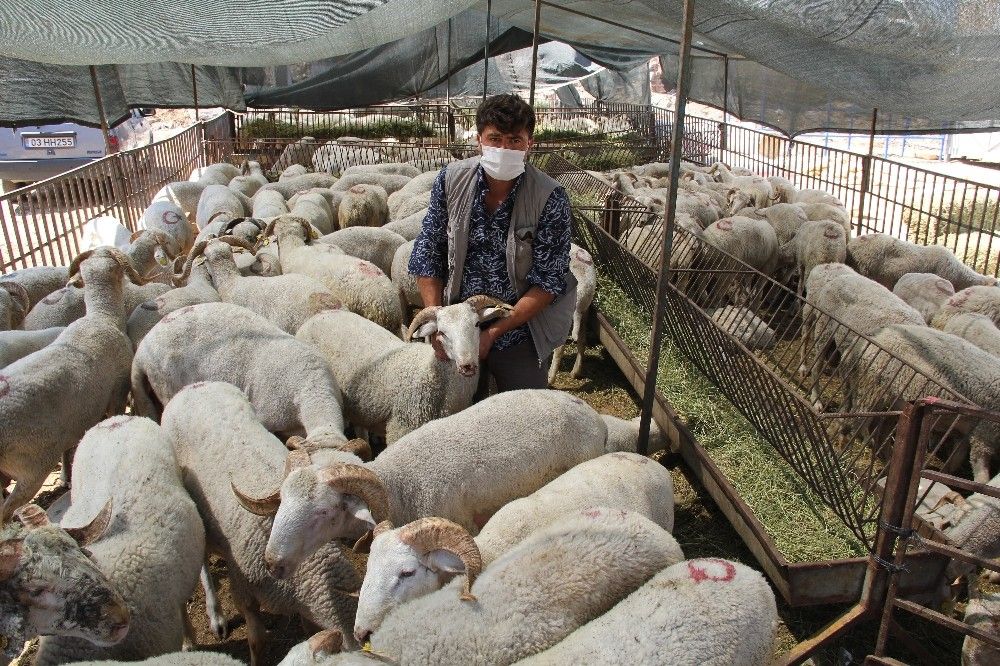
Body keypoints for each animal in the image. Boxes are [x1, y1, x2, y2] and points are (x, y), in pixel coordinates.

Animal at [0, 248, 141, 521]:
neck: (102, 316)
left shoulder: (74, 422)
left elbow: (68, 449)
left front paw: (66, 476)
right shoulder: (117, 393)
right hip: (32, 467)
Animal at [161, 382, 376, 665]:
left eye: (329, 511)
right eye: (282, 500)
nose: (272, 562)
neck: (310, 569)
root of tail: (194, 387)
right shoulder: (243, 591)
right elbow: (257, 640)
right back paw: (213, 618)